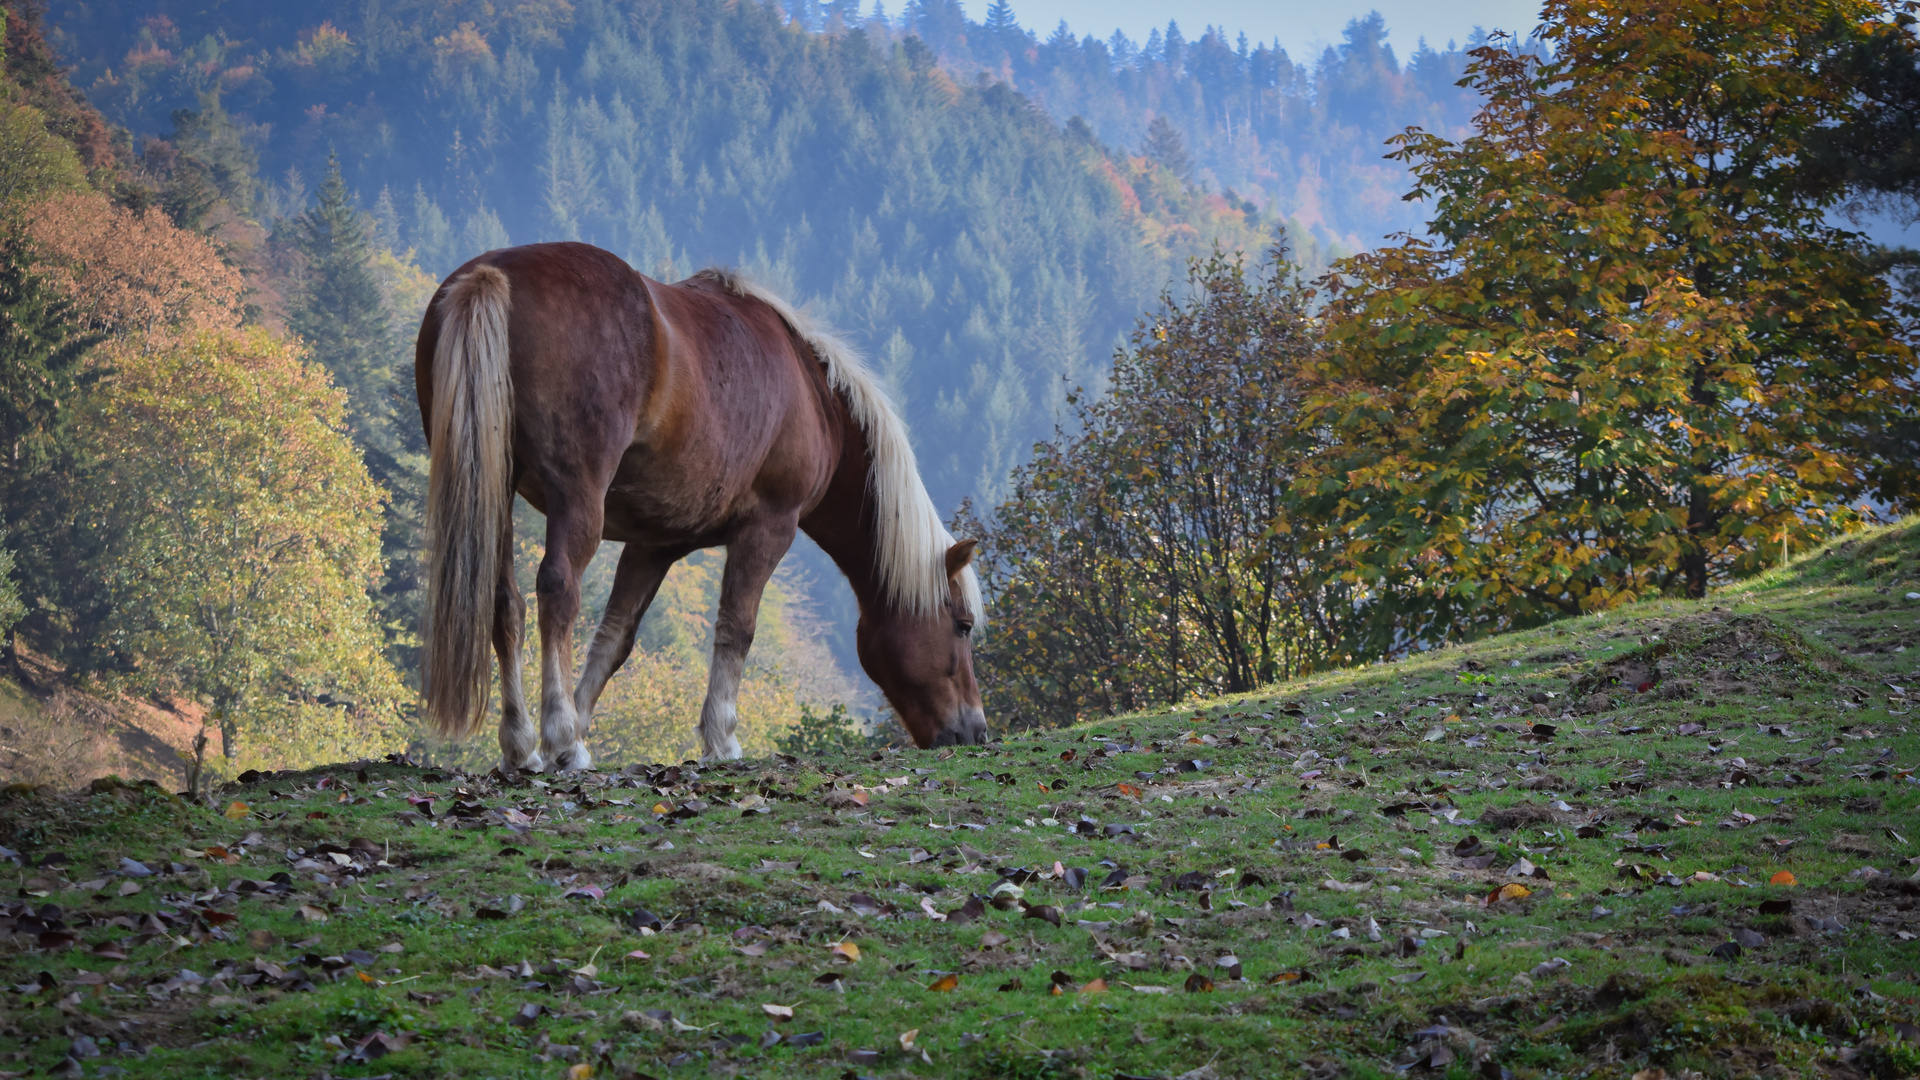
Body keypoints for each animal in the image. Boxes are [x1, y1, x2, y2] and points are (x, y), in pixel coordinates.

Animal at [418, 242, 990, 764]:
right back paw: (559, 736)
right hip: (577, 499)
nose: (976, 732)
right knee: (558, 590)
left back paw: (522, 745)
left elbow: (614, 638)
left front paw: (580, 724)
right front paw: (720, 738)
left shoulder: (652, 545)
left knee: (504, 601)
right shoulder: (768, 529)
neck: (813, 392)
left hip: (496, 491)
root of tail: (495, 274)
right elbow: (738, 628)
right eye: (962, 626)